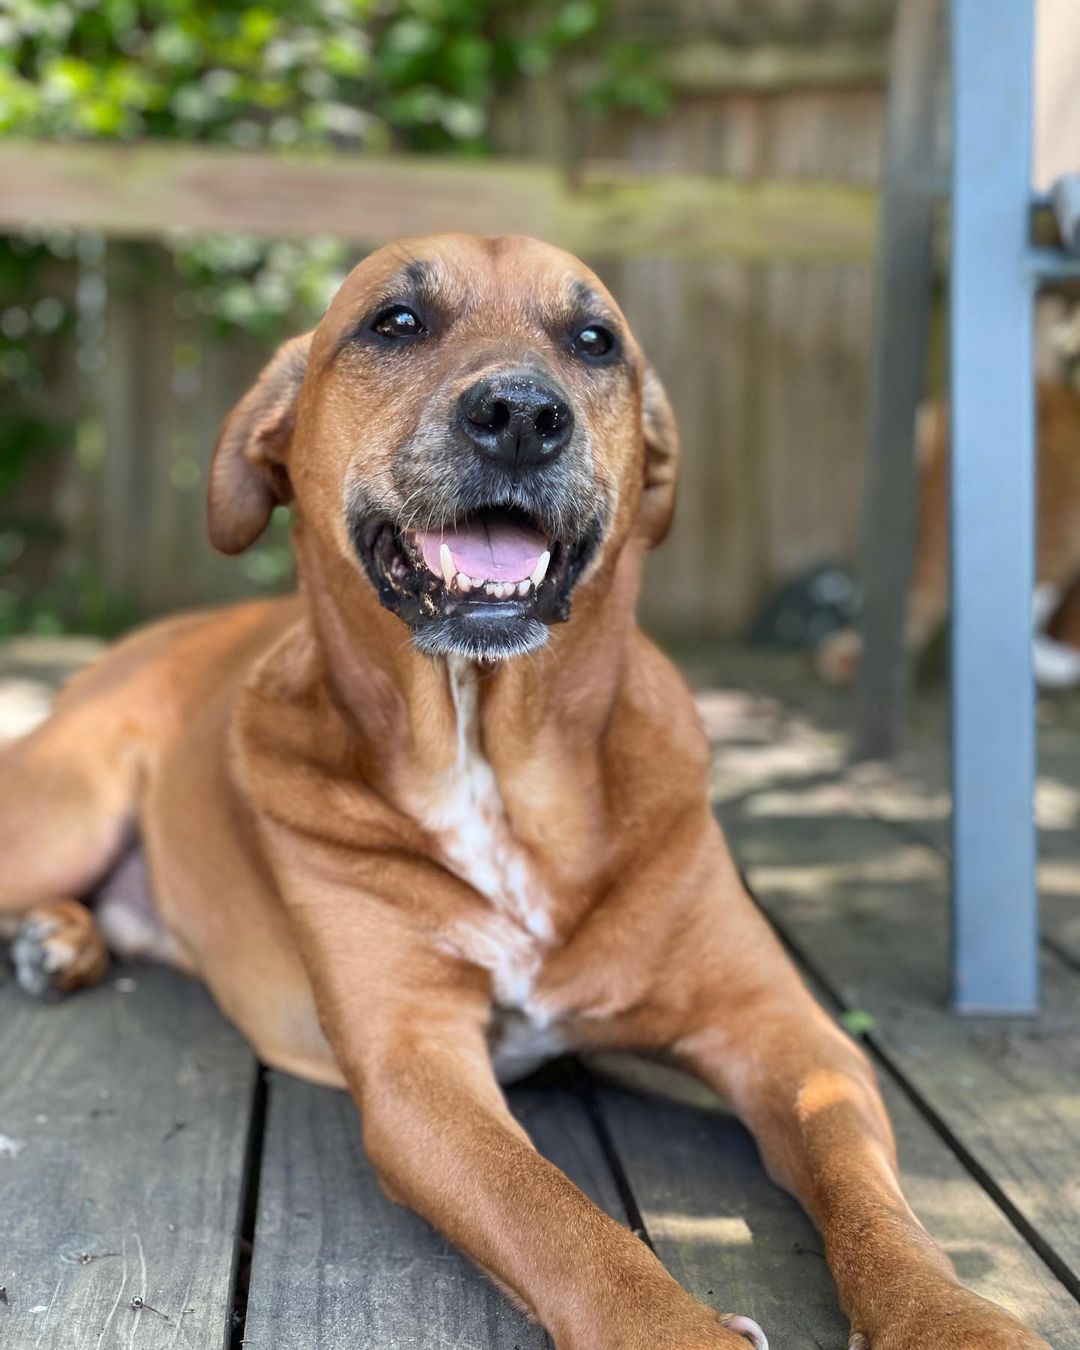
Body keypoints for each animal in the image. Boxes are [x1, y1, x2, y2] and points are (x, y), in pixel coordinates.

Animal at [0, 237, 1047, 1344]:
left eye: (595, 340)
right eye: (395, 322)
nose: (520, 415)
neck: (491, 756)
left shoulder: (790, 1039)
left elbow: (873, 1201)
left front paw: (950, 1315)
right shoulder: (417, 1070)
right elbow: (556, 1218)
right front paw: (672, 1328)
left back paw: (64, 938)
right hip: (66, 811)